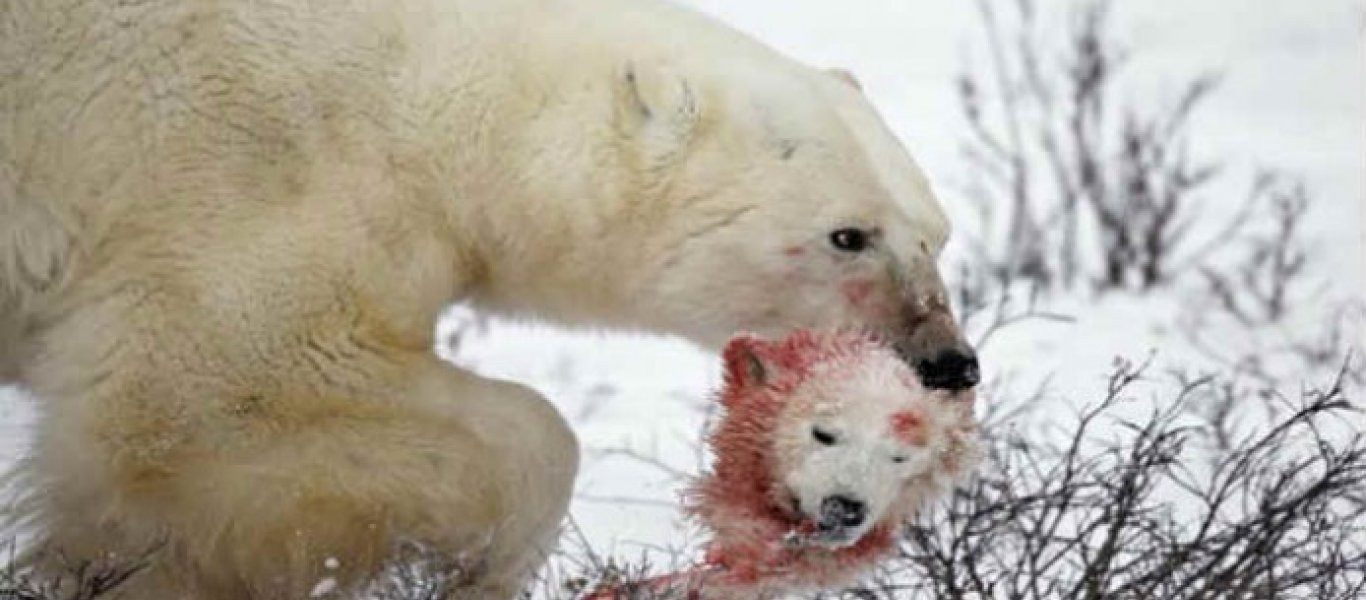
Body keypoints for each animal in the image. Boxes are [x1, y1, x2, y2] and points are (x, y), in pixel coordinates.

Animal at [5, 0, 978, 595]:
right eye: (848, 235)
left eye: (936, 233)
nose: (950, 364)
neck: (433, 78)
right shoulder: (252, 177)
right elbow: (206, 396)